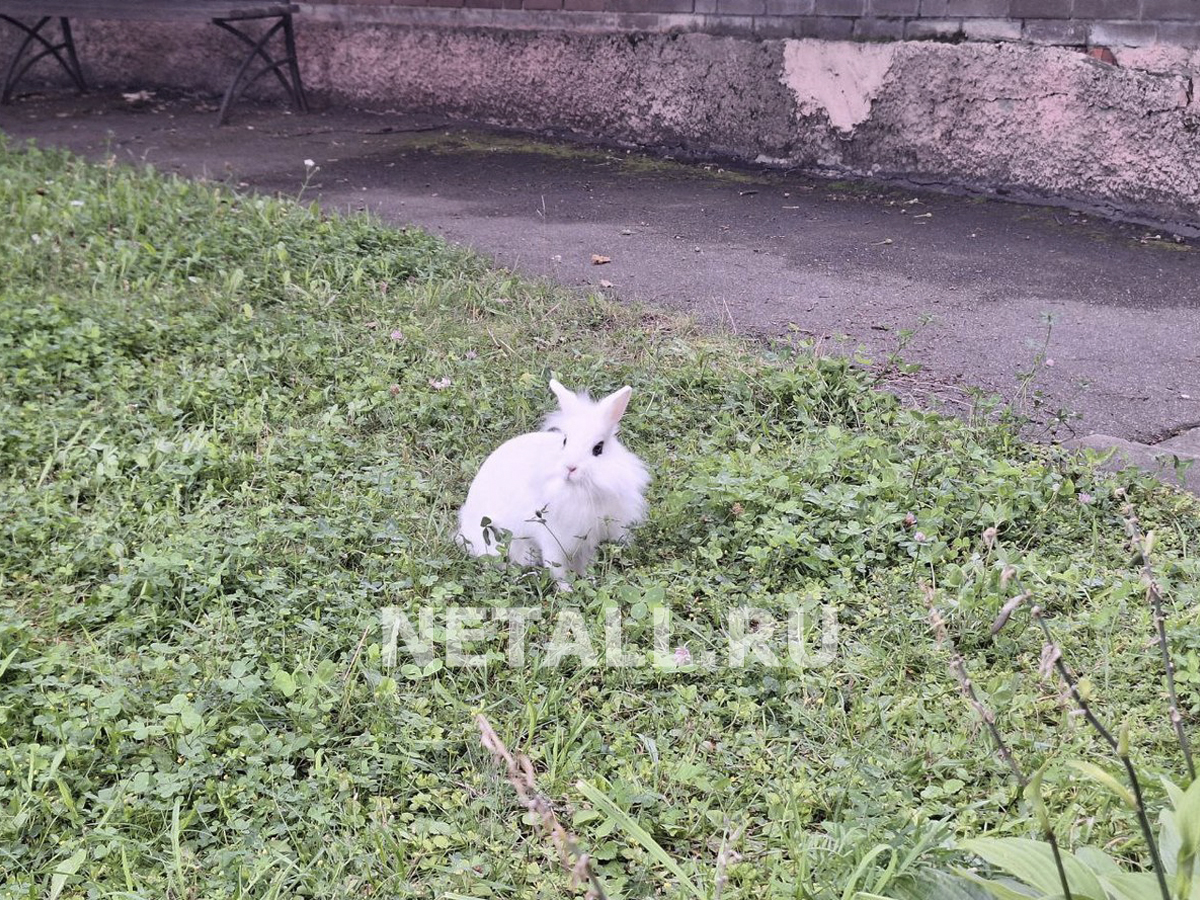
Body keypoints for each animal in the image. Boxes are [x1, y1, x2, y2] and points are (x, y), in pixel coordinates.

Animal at [456, 379, 650, 590]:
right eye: (565, 441)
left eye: (598, 448)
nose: (570, 467)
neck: (579, 490)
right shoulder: (552, 539)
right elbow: (556, 568)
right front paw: (567, 590)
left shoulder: (587, 541)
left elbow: (584, 564)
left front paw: (588, 581)